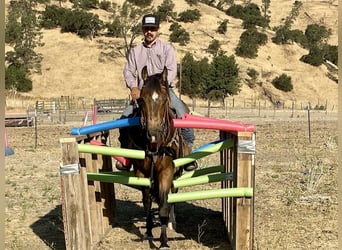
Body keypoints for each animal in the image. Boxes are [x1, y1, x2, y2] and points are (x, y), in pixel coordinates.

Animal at [125, 66, 190, 248]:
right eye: (141, 99)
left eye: (164, 99)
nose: (153, 134)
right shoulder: (141, 173)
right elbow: (147, 203)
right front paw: (148, 232)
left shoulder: (166, 172)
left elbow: (163, 205)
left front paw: (164, 242)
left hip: (176, 173)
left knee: (172, 196)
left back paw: (172, 223)